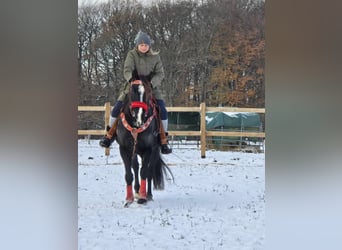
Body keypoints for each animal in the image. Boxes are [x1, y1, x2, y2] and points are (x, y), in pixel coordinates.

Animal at [116, 73, 174, 206]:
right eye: (132, 91)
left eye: (148, 92)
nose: (140, 117)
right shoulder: (124, 149)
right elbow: (129, 174)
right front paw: (129, 199)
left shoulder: (149, 149)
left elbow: (145, 172)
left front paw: (143, 198)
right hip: (136, 151)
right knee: (136, 167)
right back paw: (137, 191)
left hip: (153, 151)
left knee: (149, 171)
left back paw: (148, 195)